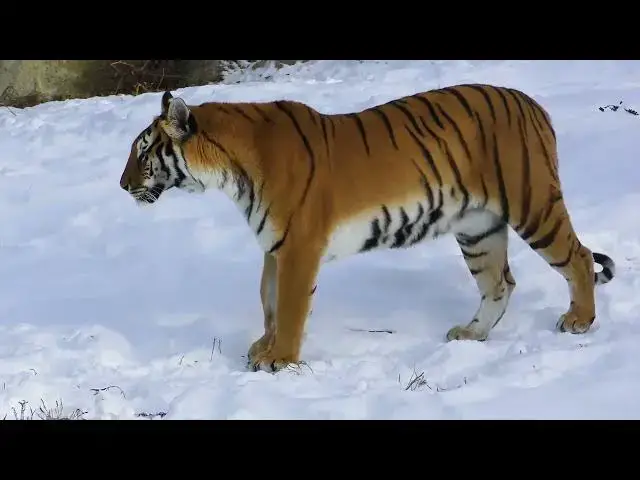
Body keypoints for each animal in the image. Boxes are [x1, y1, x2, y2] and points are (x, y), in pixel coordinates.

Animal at [119, 85, 616, 373]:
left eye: (143, 151)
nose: (122, 186)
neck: (229, 172)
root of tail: (534, 105)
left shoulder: (298, 246)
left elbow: (290, 306)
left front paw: (281, 359)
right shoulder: (273, 247)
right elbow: (268, 301)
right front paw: (263, 347)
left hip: (533, 205)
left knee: (578, 256)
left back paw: (579, 320)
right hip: (477, 229)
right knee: (500, 283)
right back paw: (471, 334)